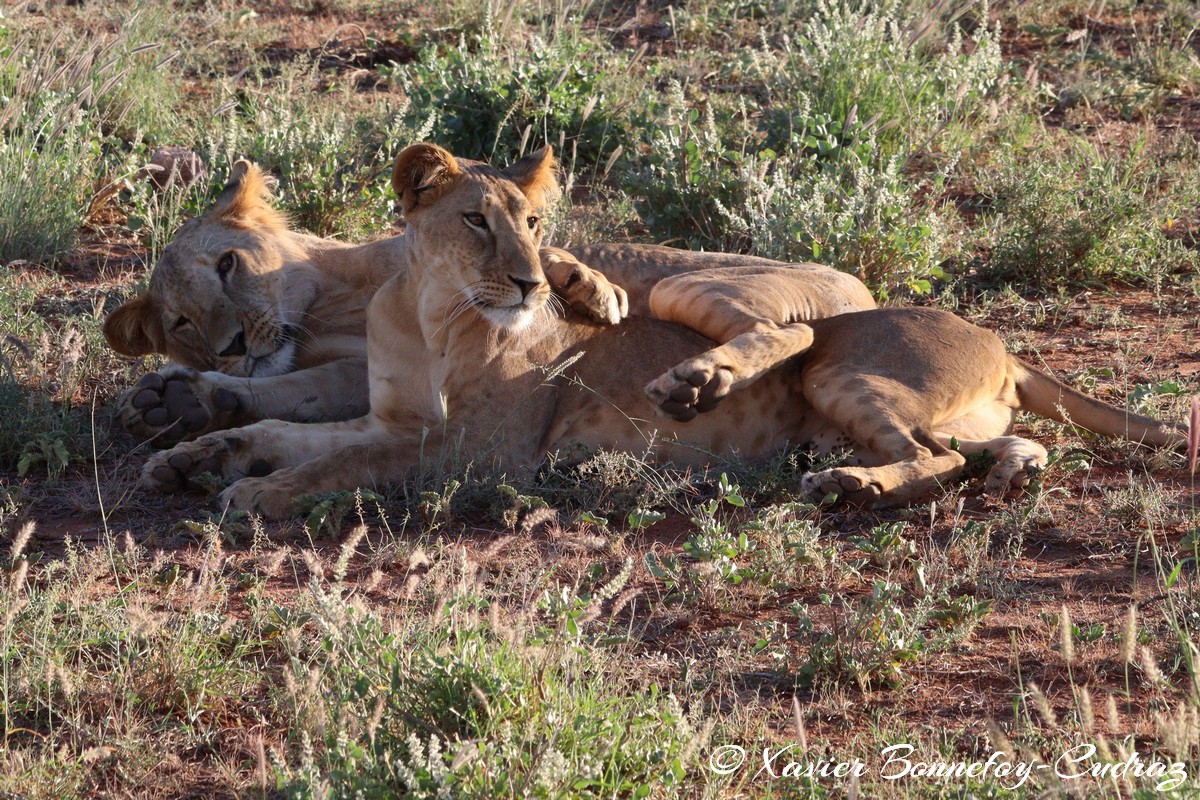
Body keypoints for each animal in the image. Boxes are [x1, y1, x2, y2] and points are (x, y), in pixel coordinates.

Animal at [105, 160, 873, 448]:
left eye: (227, 264)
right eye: (180, 321)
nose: (233, 344)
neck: (322, 307)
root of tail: (862, 285)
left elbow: (546, 252)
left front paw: (588, 287)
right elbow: (297, 389)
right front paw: (177, 396)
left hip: (689, 286)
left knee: (790, 337)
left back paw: (701, 378)